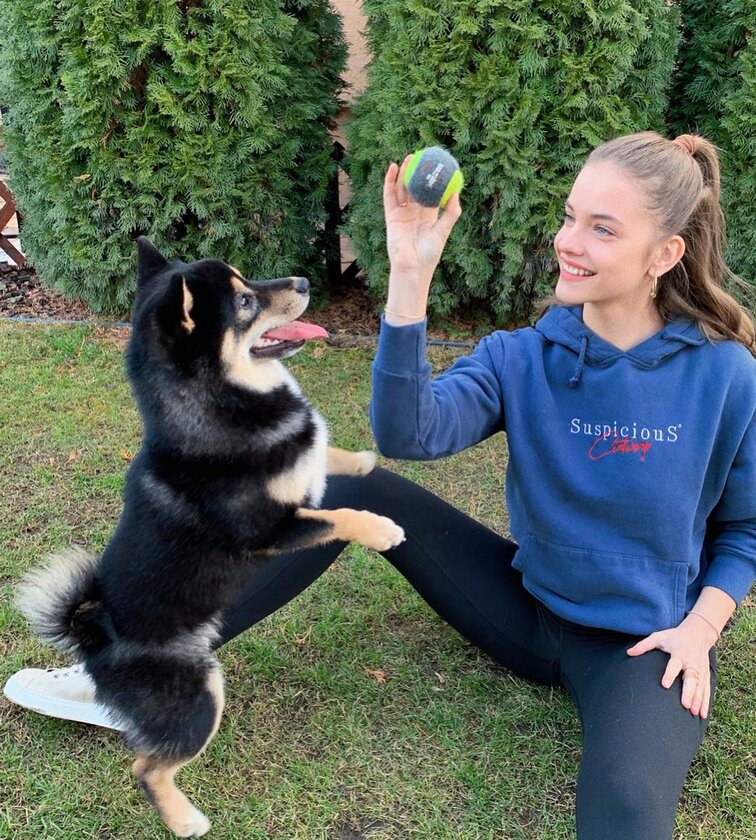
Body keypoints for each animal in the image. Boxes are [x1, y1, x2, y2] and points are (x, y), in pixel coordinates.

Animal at [17, 240, 404, 836]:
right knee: (146, 767)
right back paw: (184, 821)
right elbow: (342, 516)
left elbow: (323, 457)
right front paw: (383, 529)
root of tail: (95, 640)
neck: (221, 403)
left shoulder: (302, 483)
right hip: (202, 696)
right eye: (244, 302)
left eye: (249, 281)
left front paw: (361, 459)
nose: (304, 280)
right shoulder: (272, 530)